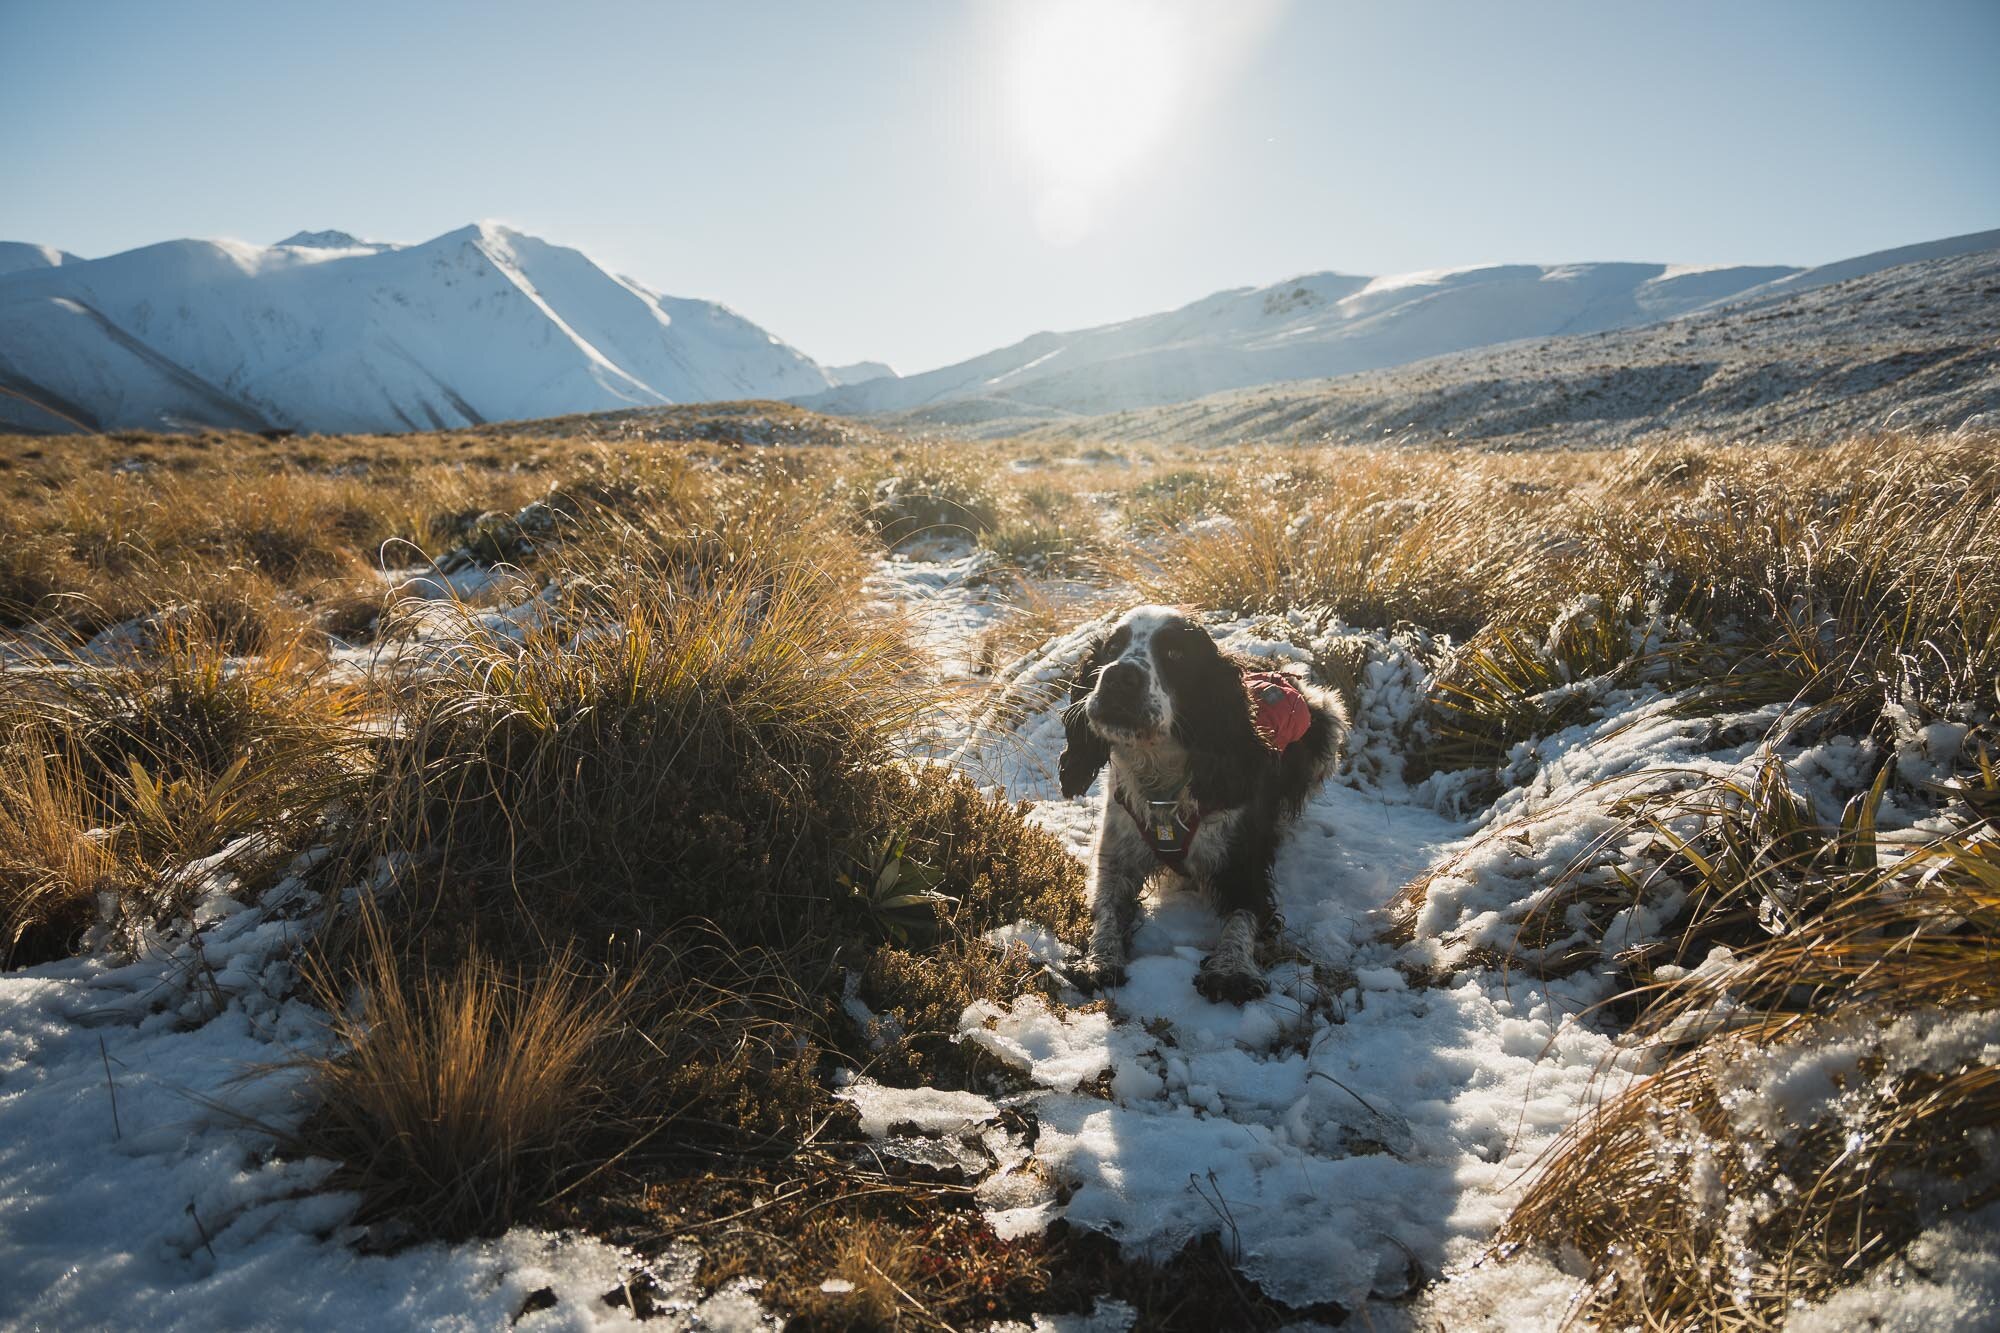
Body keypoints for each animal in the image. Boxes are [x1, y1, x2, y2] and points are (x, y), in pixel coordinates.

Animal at [1056, 600, 1352, 996]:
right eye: (1111, 648)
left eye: (1175, 654)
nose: (1119, 677)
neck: (1162, 786)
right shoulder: (1117, 856)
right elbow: (1106, 907)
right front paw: (1098, 960)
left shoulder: (1242, 860)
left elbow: (1243, 914)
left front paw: (1232, 969)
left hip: (1327, 721)